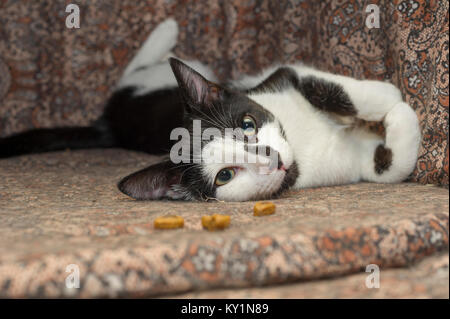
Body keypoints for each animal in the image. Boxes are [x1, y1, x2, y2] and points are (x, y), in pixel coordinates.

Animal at [0, 18, 422, 202]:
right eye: (225, 176)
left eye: (247, 124)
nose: (272, 159)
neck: (303, 148)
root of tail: (108, 121)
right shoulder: (348, 166)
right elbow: (389, 168)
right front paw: (402, 114)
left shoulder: (281, 78)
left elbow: (336, 89)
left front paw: (387, 96)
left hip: (182, 72)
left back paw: (167, 33)